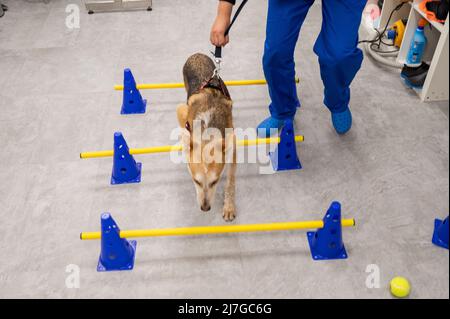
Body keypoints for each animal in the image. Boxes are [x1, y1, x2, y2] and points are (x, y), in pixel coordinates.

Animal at [177, 53, 237, 222]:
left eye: (215, 181)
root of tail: (197, 54)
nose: (205, 208)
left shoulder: (232, 147)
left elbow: (230, 181)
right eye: (196, 181)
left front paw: (229, 207)